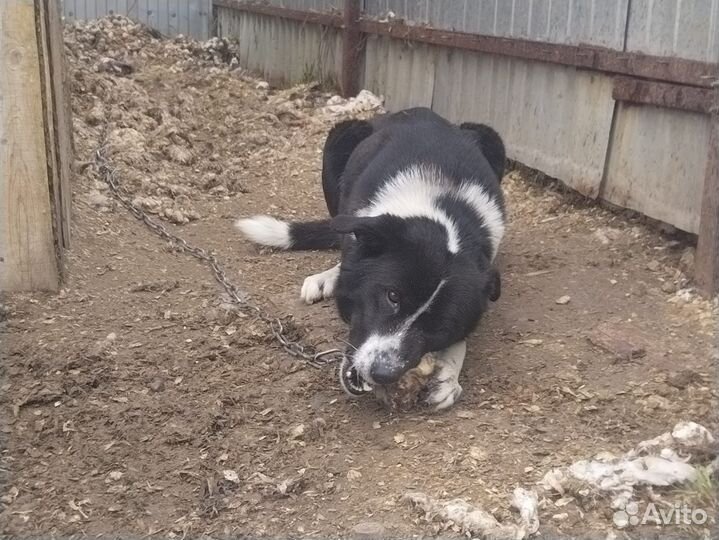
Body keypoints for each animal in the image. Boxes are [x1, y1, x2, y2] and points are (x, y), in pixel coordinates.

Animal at [236, 107, 506, 412]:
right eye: (392, 296)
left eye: (440, 325)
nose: (383, 373)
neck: (444, 210)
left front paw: (449, 375)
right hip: (340, 136)